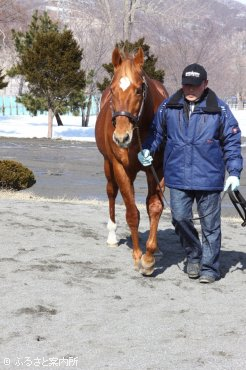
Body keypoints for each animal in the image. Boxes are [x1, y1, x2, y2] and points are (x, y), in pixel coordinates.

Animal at [95, 47, 168, 274]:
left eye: (138, 90)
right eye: (112, 90)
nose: (121, 137)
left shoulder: (157, 168)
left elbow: (155, 207)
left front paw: (150, 255)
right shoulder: (121, 168)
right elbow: (132, 213)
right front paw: (137, 256)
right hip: (108, 166)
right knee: (111, 192)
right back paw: (112, 235)